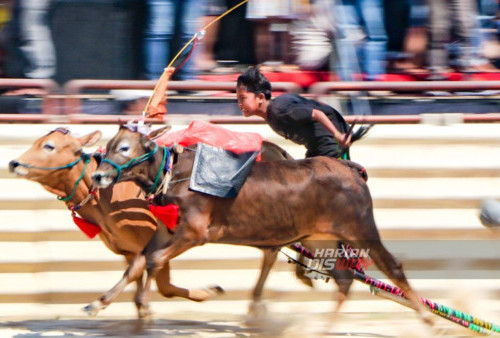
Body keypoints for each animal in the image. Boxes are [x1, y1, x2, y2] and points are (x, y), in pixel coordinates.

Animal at [89, 125, 430, 324]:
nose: (98, 175)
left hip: (360, 229)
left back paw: (428, 318)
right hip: (320, 236)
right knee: (344, 279)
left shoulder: (194, 232)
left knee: (392, 267)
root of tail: (350, 170)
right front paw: (98, 302)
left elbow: (153, 261)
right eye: (109, 144)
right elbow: (138, 263)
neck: (176, 174)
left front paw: (144, 307)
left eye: (124, 148)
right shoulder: (165, 231)